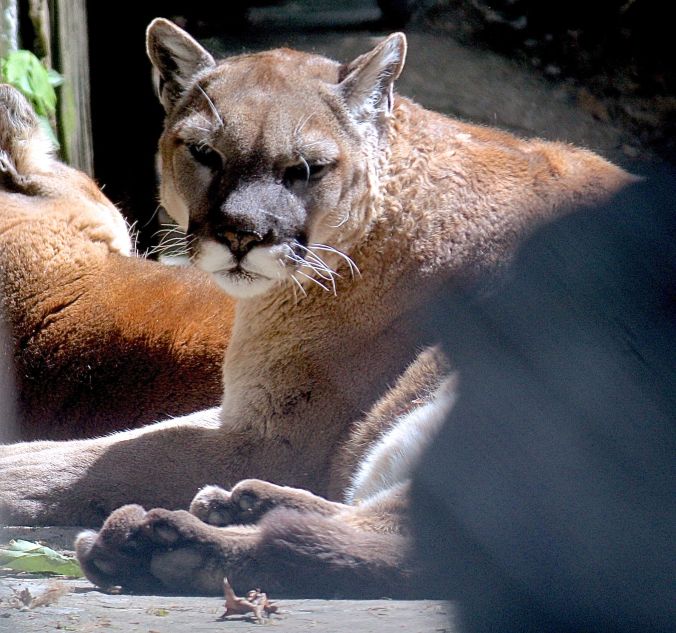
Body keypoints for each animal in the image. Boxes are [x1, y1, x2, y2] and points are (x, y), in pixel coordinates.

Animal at [0, 20, 632, 597]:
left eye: (305, 169)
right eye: (205, 154)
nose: (242, 234)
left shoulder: (274, 442)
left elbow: (83, 461)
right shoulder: (242, 415)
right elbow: (108, 441)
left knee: (400, 545)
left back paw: (162, 546)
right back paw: (239, 504)